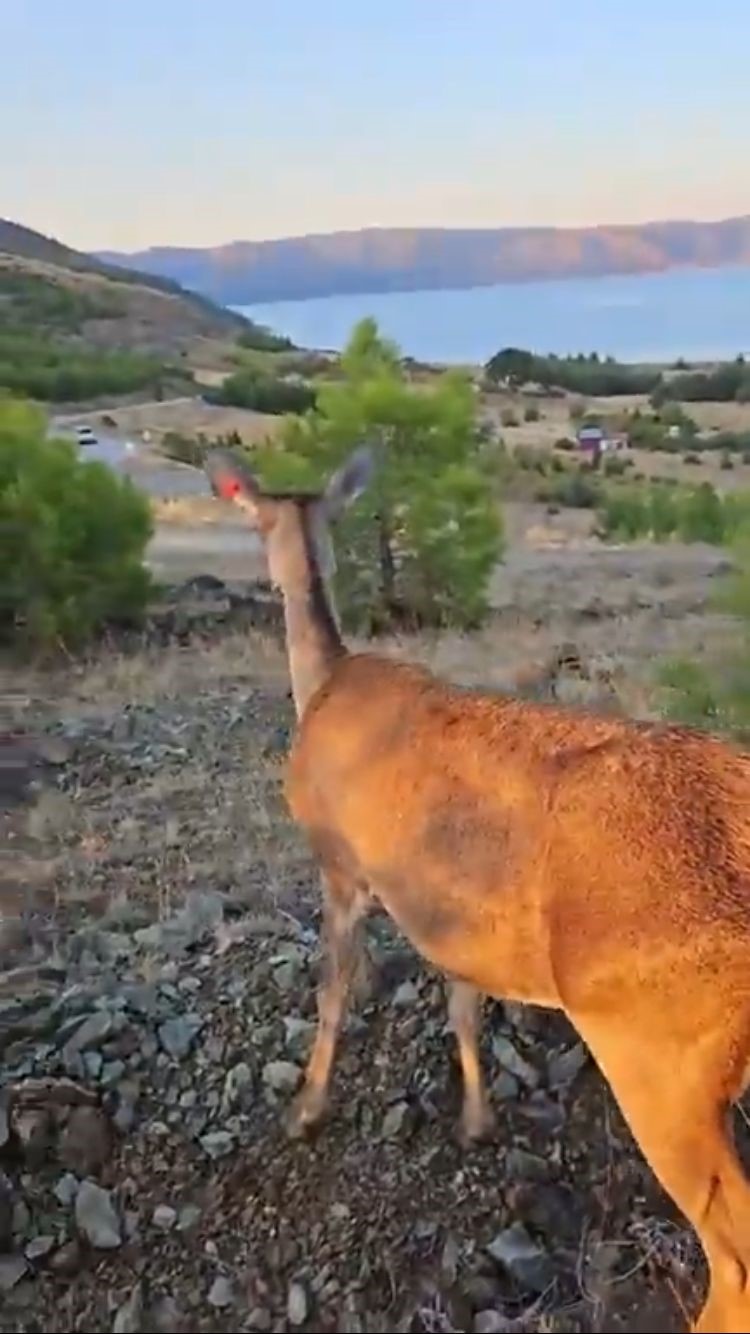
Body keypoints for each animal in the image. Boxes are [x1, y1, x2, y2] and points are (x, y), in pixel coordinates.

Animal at [202, 442, 747, 1328]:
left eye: (252, 517)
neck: (323, 685)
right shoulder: (449, 915)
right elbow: (461, 1001)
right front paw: (478, 1119)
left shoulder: (337, 859)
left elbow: (332, 988)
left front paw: (307, 1109)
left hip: (663, 1059)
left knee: (733, 1252)